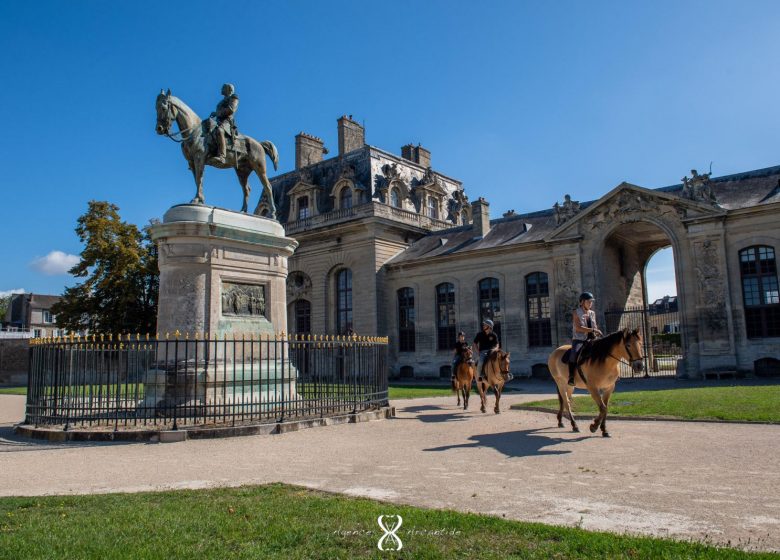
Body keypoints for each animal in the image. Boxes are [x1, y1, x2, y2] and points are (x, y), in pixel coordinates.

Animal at [154, 89, 278, 217]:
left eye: (163, 107)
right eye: (155, 108)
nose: (159, 129)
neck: (194, 131)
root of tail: (259, 144)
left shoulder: (199, 159)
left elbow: (199, 178)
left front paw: (197, 199)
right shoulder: (192, 162)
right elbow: (198, 179)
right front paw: (200, 199)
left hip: (259, 168)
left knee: (268, 187)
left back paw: (272, 214)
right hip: (242, 171)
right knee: (246, 189)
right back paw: (243, 210)